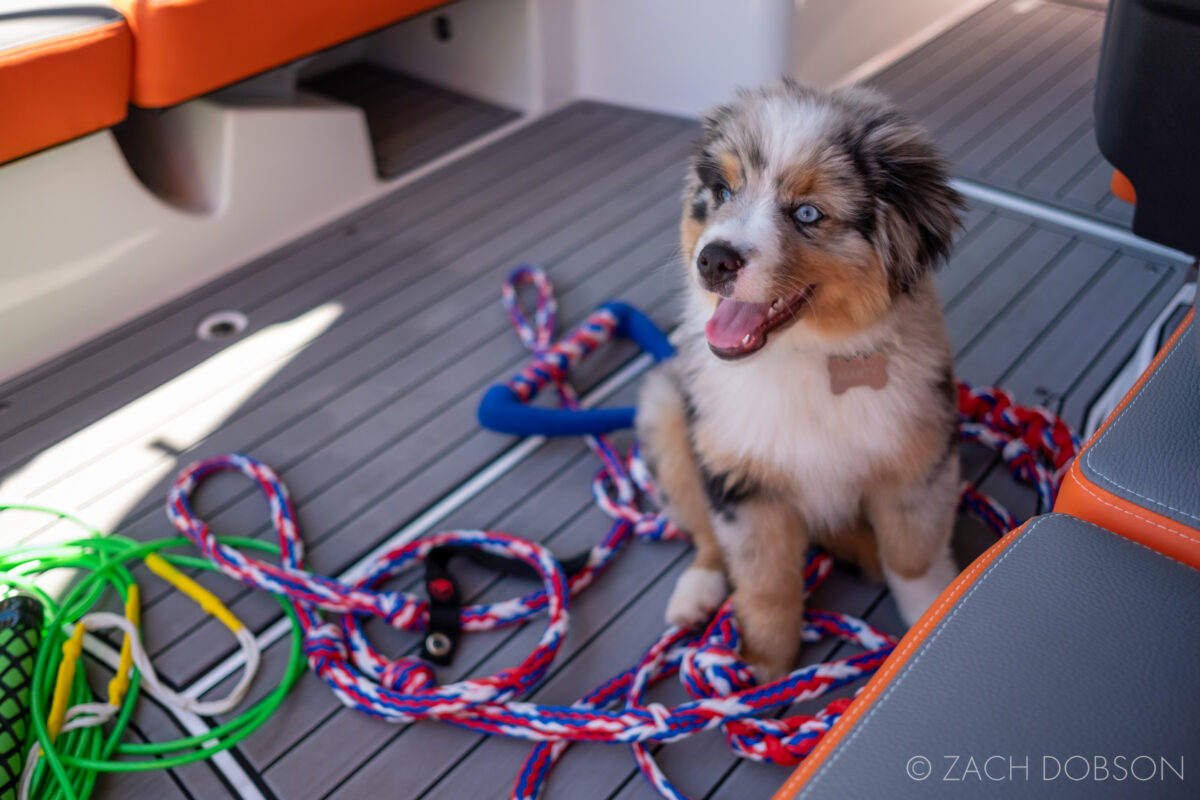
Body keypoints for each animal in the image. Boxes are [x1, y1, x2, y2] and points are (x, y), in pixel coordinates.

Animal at [638, 79, 964, 681]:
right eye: (722, 191)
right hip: (668, 413)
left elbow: (914, 556)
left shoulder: (919, 453)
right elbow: (765, 584)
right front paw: (760, 669)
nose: (712, 261)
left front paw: (933, 614)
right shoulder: (743, 481)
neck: (807, 355)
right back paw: (696, 592)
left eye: (809, 213)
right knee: (704, 531)